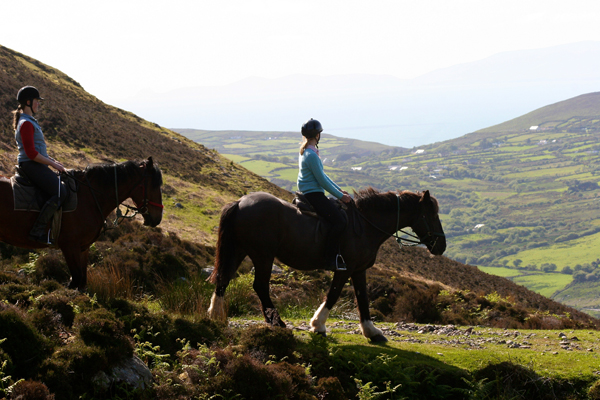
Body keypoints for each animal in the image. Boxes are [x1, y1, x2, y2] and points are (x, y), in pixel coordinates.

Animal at [0, 157, 164, 290]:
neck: (90, 197)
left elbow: (82, 282)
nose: (158, 218)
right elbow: (75, 281)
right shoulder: (69, 246)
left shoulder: (83, 248)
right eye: (154, 186)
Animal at [207, 188, 446, 340]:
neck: (365, 225)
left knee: (223, 278)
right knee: (260, 286)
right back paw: (277, 322)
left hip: (239, 250)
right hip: (262, 255)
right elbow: (333, 294)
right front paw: (318, 325)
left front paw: (371, 331)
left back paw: (216, 316)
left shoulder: (359, 270)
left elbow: (363, 299)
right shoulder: (344, 269)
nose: (441, 246)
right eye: (431, 215)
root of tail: (240, 202)